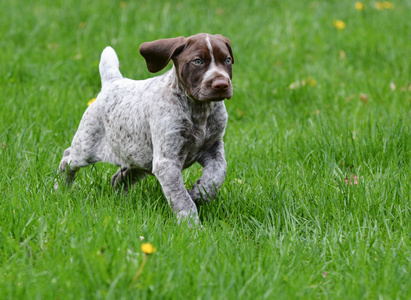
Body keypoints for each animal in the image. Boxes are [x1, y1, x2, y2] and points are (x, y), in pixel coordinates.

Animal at [54, 33, 235, 225]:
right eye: (198, 61)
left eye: (227, 60)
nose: (221, 84)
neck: (199, 109)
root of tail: (113, 83)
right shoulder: (167, 162)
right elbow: (181, 198)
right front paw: (191, 225)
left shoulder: (212, 149)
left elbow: (218, 172)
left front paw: (200, 193)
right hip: (86, 148)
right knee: (67, 159)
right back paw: (60, 188)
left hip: (140, 159)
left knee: (117, 178)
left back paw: (123, 203)